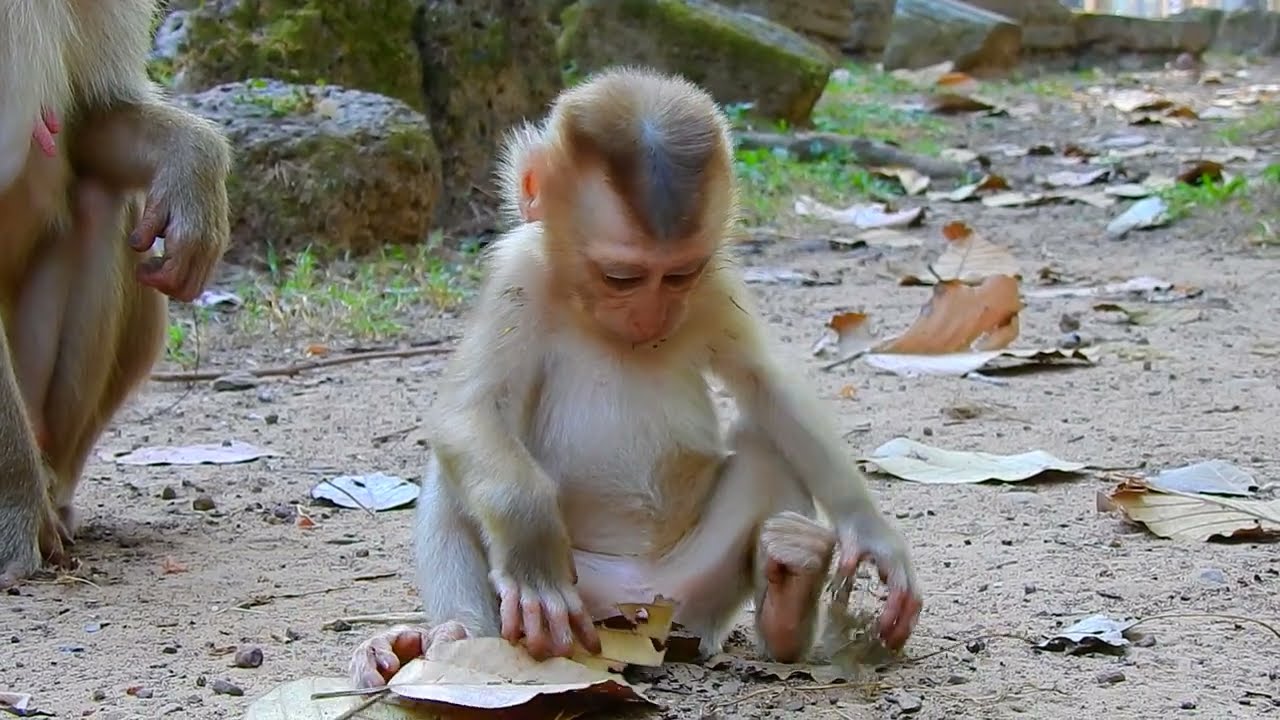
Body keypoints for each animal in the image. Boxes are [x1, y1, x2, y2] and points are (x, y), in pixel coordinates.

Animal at [348, 67, 923, 688]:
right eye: (619, 276)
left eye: (679, 275)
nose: (650, 317)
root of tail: (637, 607)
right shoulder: (517, 273)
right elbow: (469, 411)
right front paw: (534, 559)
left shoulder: (715, 284)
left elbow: (767, 384)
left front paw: (873, 536)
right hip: (584, 605)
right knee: (455, 476)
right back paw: (447, 638)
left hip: (696, 597)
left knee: (768, 444)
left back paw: (789, 599)